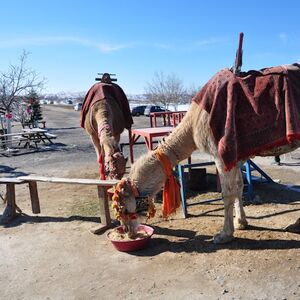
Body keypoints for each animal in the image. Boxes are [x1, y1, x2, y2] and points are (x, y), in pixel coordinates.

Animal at [115, 63, 300, 244]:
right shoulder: (237, 157)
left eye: (123, 207)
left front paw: (224, 235)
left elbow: (227, 193)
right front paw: (241, 223)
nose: (127, 231)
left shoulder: (222, 156)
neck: (192, 127)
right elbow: (239, 187)